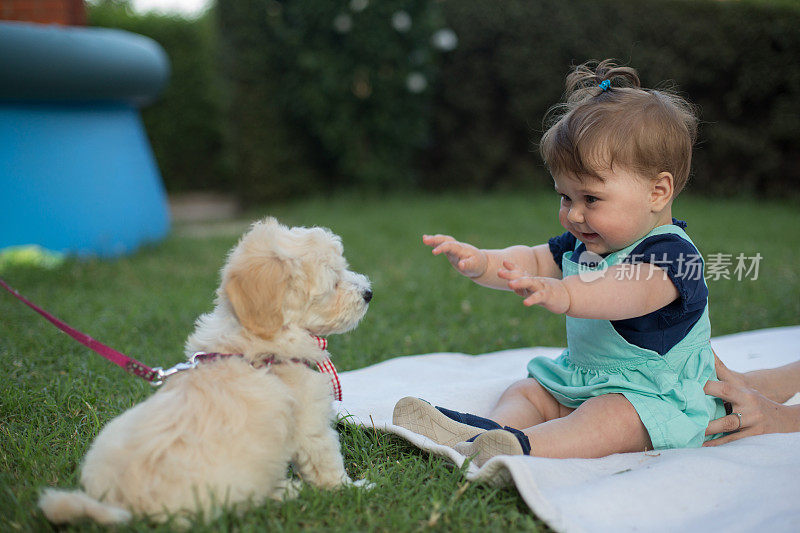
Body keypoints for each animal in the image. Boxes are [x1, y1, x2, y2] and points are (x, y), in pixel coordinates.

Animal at [37, 216, 372, 524]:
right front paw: (353, 488)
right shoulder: (311, 423)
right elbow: (327, 461)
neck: (255, 341)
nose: (369, 292)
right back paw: (286, 491)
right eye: (333, 282)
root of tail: (121, 502)